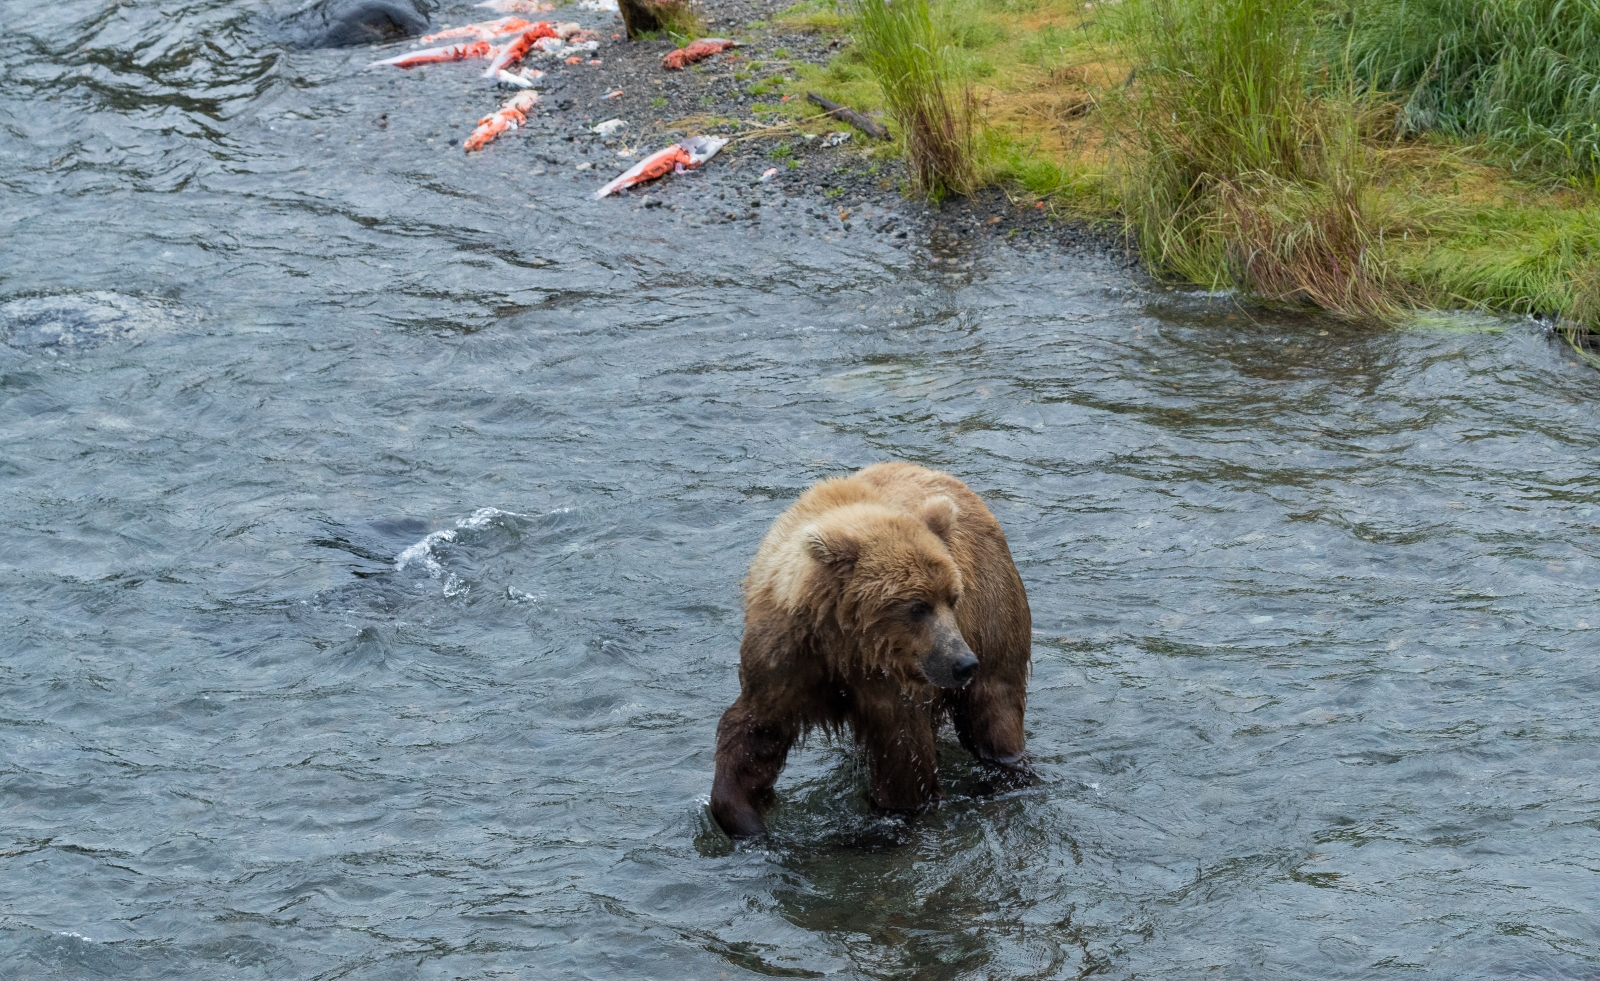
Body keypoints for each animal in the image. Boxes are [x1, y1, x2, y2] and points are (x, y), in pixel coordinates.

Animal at [707, 457, 1030, 832]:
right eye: (918, 607)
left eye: (952, 599)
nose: (963, 662)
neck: (845, 645)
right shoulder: (785, 657)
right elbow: (758, 733)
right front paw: (745, 820)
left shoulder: (893, 683)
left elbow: (903, 760)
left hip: (994, 614)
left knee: (994, 709)